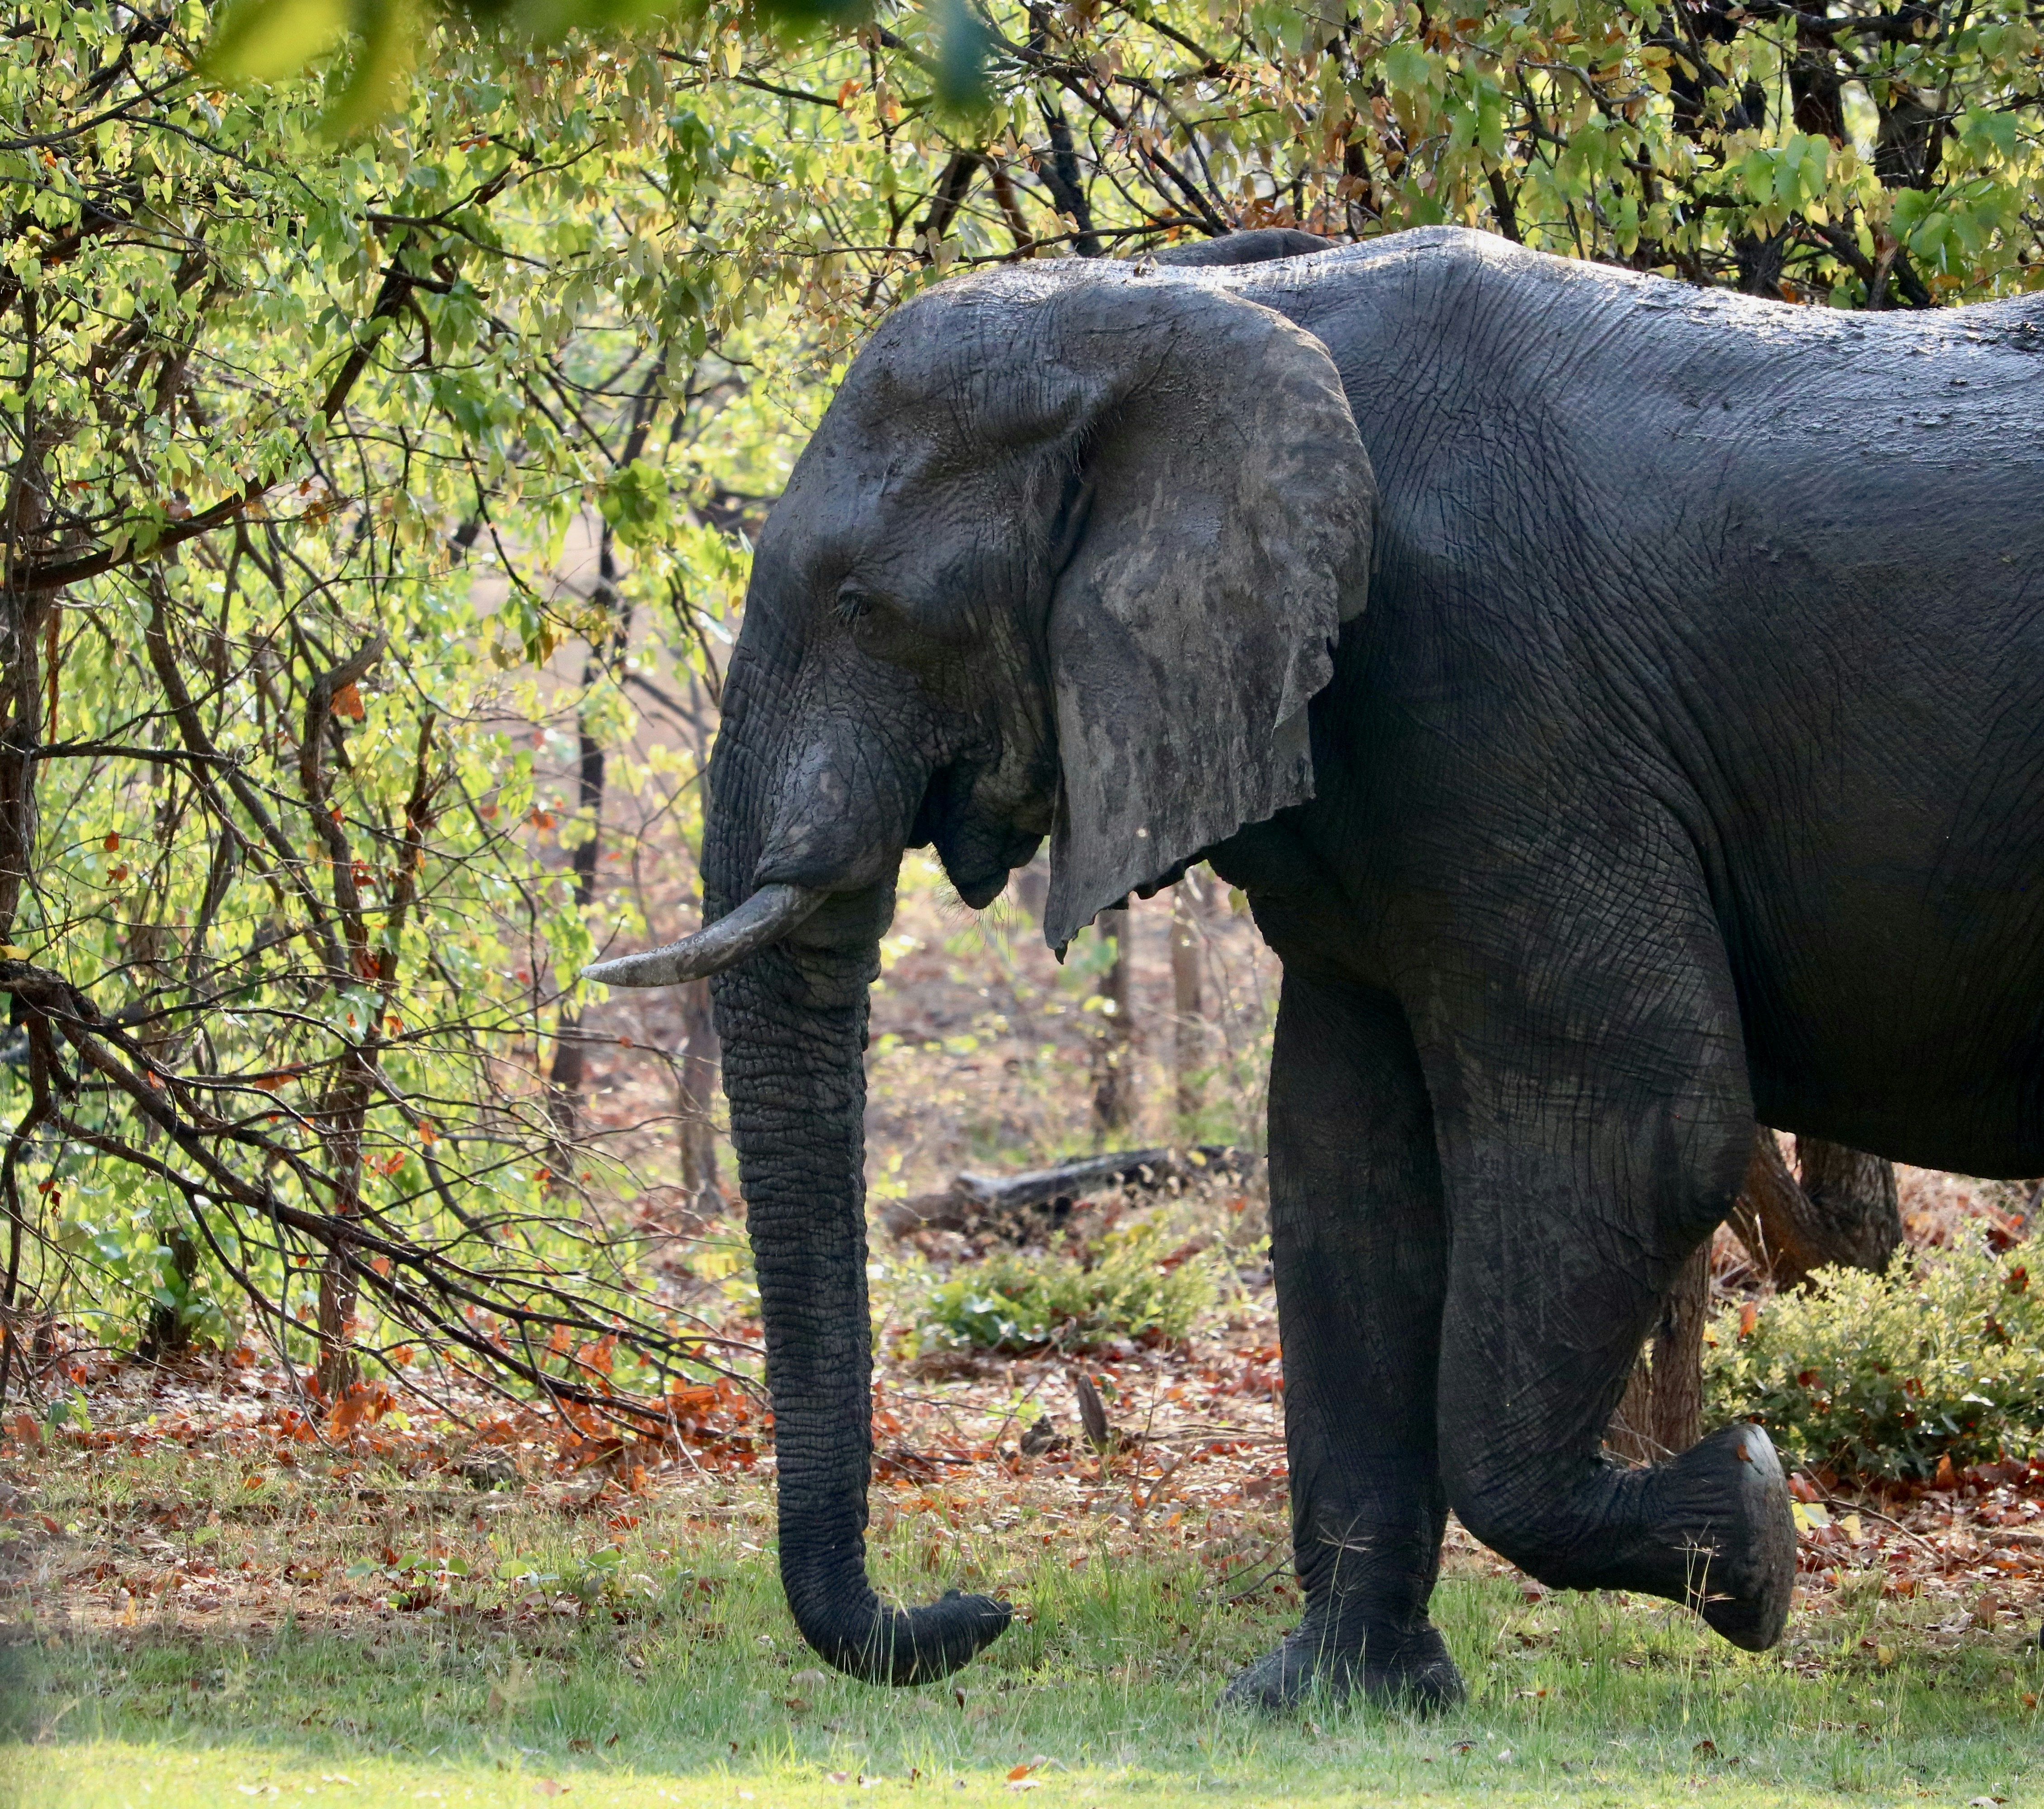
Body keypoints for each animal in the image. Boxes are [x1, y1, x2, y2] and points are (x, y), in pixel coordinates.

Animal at [588, 225, 2044, 1709]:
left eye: (865, 606)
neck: (1192, 306)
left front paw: (1751, 1529)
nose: (979, 1608)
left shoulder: (1505, 698)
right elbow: (1341, 1161)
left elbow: (1646, 1123)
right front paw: (1329, 1698)